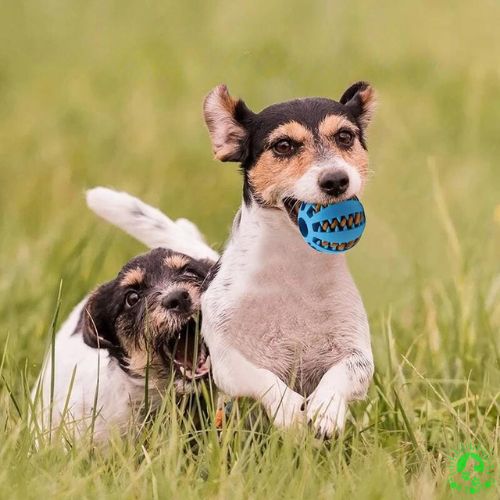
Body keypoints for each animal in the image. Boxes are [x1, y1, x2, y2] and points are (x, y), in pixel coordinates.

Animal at [199, 81, 376, 434]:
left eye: (345, 137)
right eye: (283, 145)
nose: (335, 179)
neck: (295, 268)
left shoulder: (358, 353)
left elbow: (345, 371)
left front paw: (326, 409)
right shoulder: (225, 360)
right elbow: (260, 376)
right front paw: (289, 408)